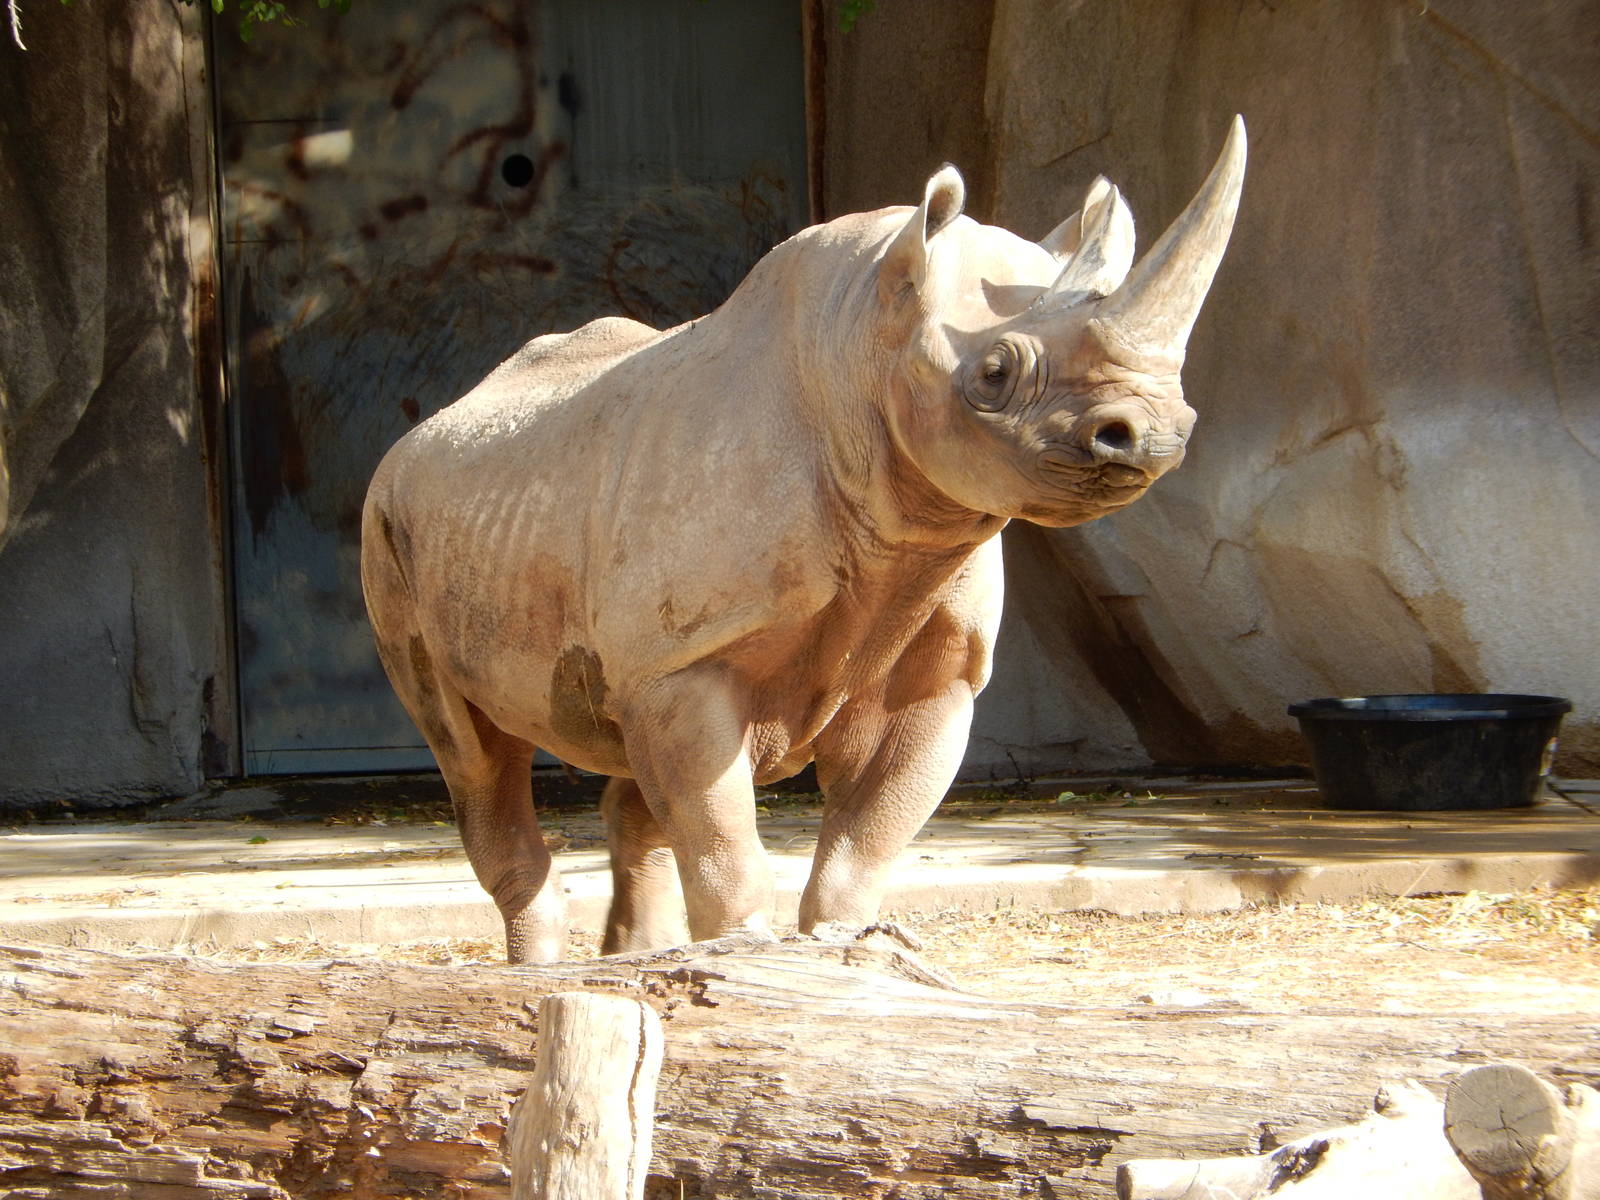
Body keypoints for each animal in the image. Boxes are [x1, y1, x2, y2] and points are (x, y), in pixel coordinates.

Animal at [361, 118, 1246, 962]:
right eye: (994, 373)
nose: (1151, 437)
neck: (860, 344)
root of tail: (438, 418)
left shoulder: (935, 672)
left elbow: (864, 843)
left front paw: (844, 955)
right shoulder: (689, 658)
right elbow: (724, 838)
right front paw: (746, 959)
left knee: (635, 777)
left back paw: (635, 963)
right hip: (388, 520)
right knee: (474, 756)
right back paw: (544, 971)